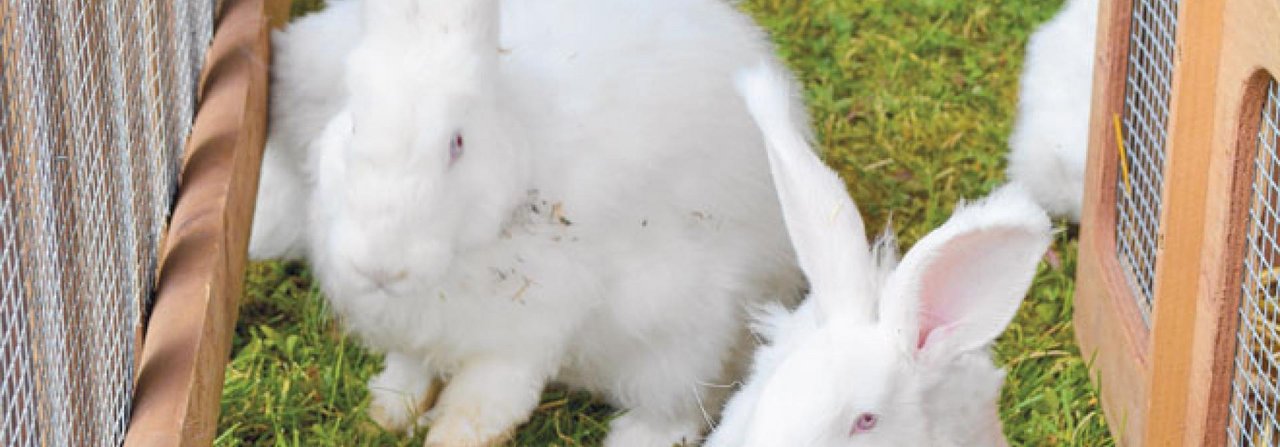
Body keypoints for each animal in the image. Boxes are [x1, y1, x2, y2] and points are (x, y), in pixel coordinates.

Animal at [261, 0, 808, 443]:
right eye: (353, 124)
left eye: (457, 143)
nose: (379, 268)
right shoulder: (412, 335)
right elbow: (407, 377)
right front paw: (384, 418)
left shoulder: (520, 341)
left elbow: (477, 413)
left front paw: (439, 434)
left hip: (686, 325)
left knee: (689, 396)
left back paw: (636, 436)